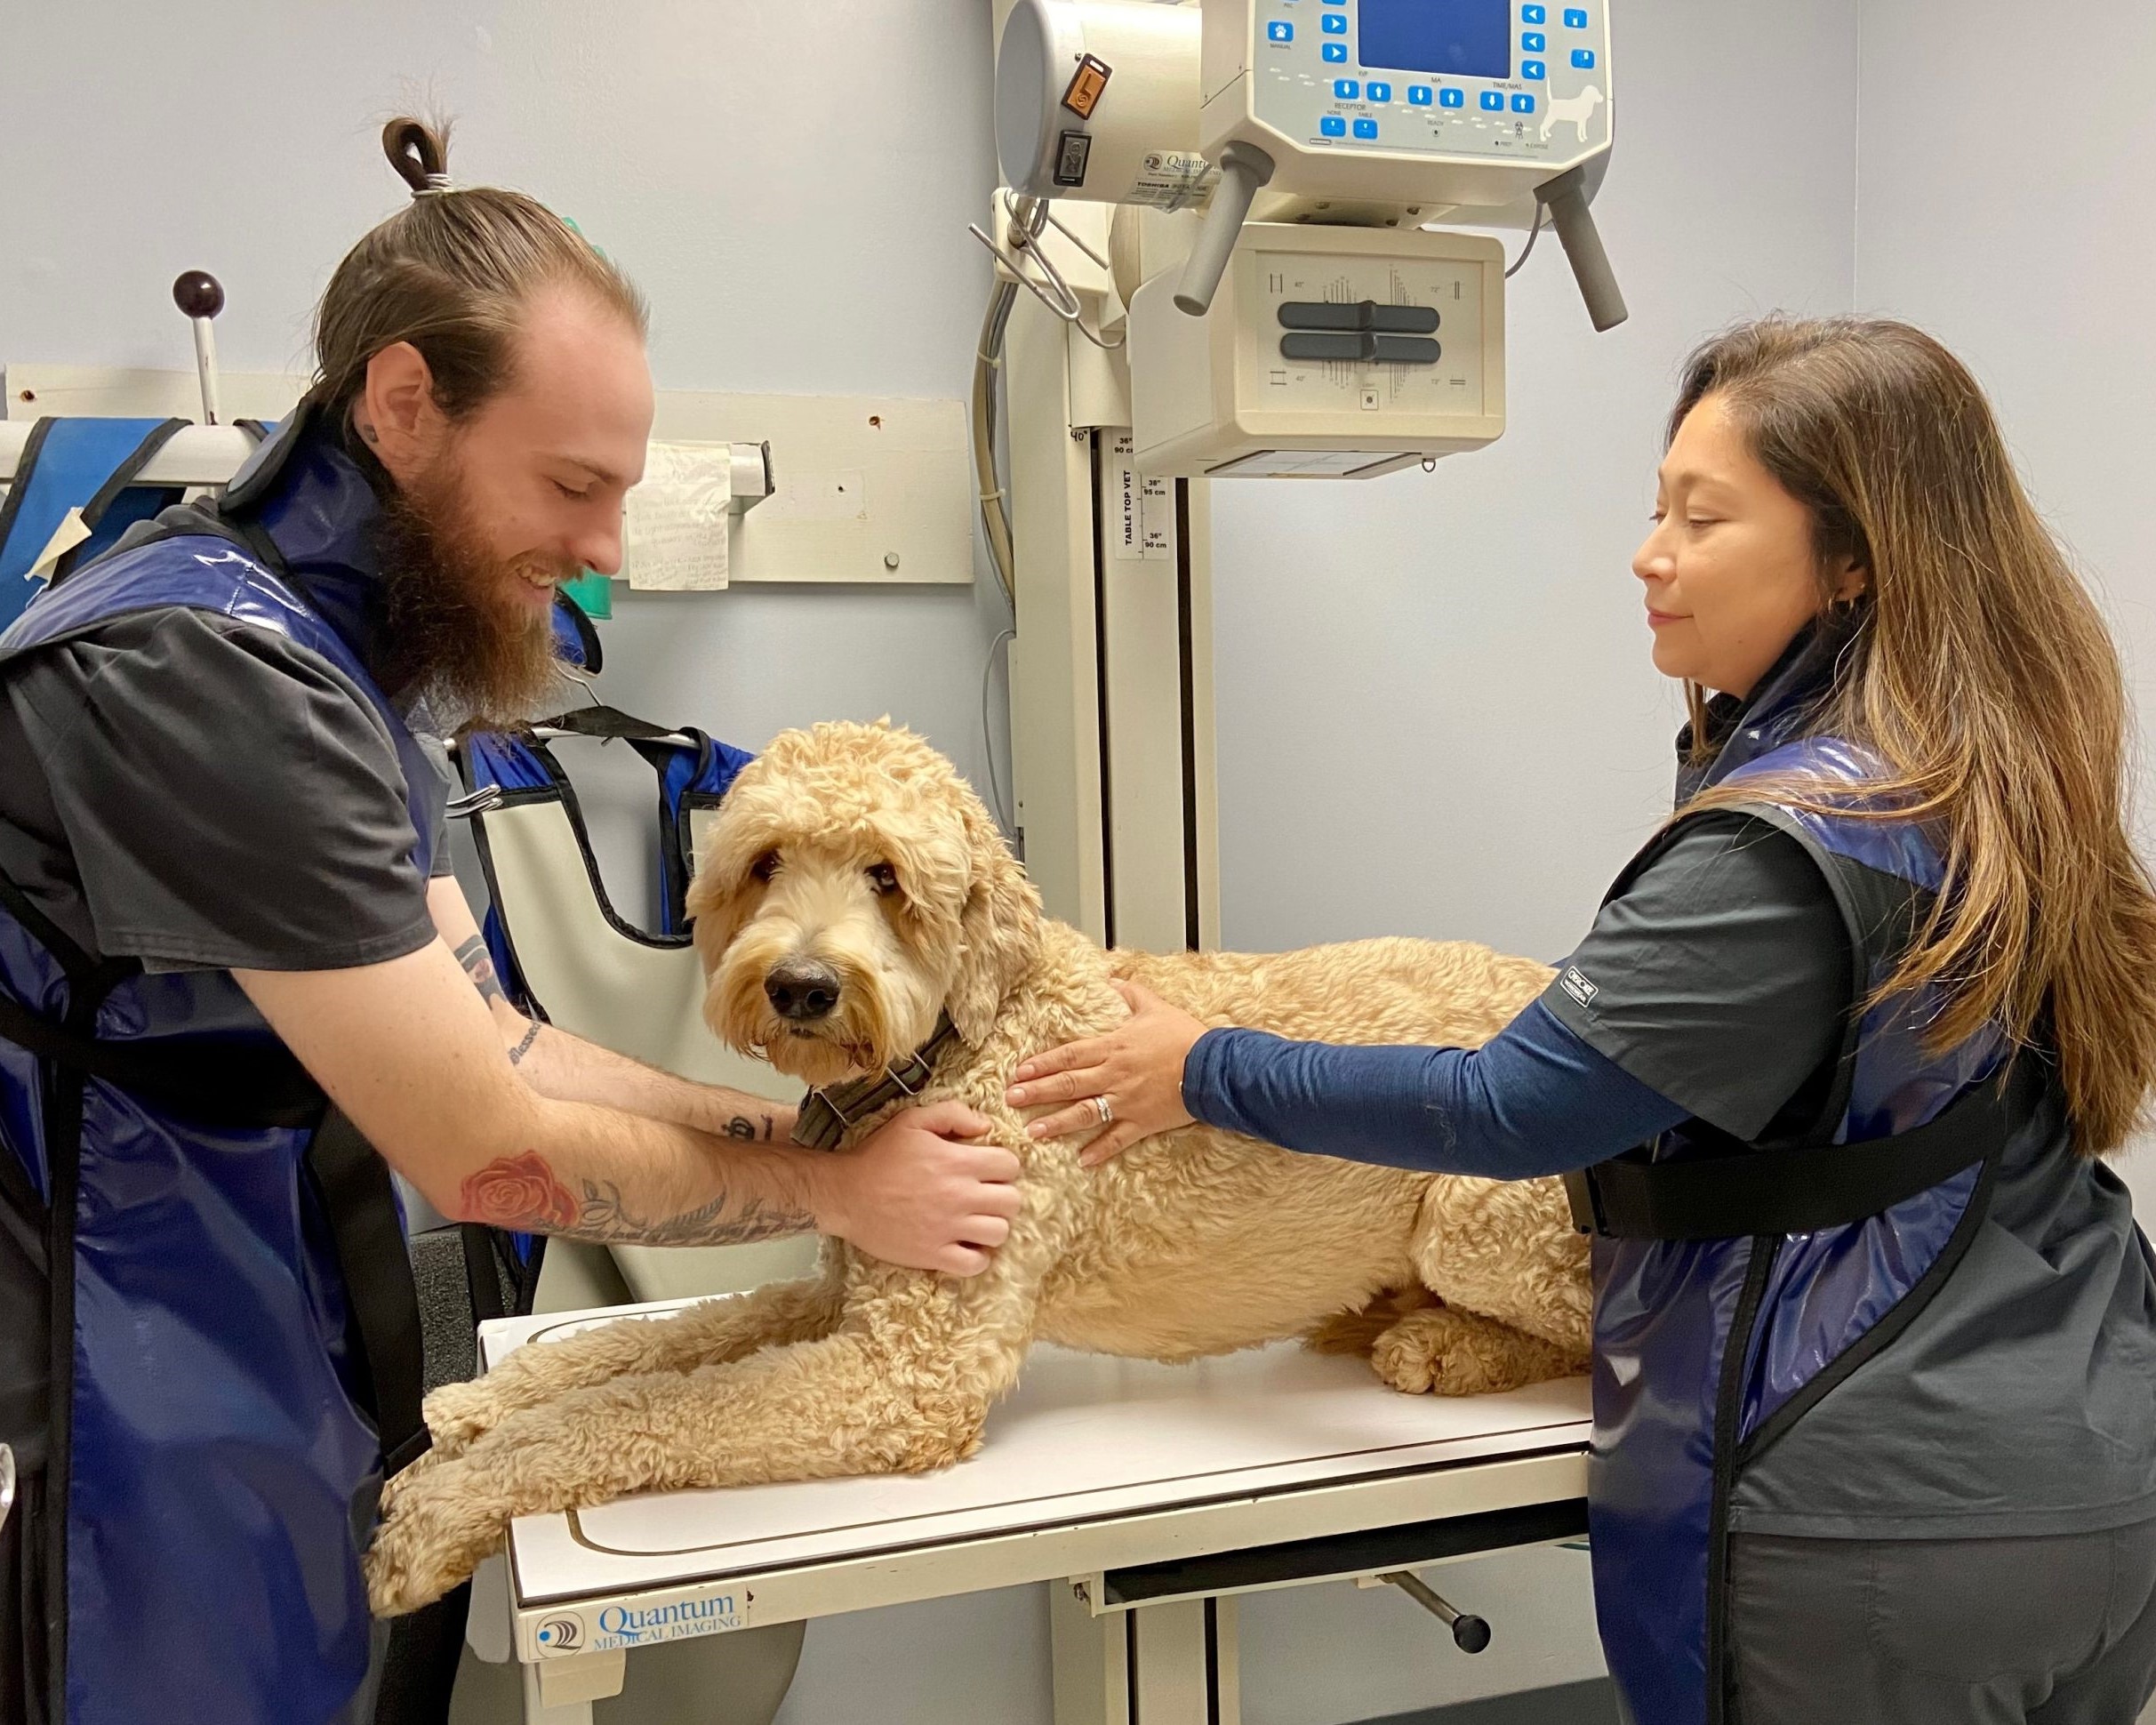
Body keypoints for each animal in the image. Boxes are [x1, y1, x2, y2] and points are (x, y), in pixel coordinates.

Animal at [366, 719, 1586, 1612]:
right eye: (764, 863)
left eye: (886, 875)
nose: (804, 984)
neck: (953, 1044)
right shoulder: (845, 1283)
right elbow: (646, 1348)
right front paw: (482, 1399)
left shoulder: (905, 1376)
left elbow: (644, 1410)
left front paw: (439, 1511)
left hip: (1479, 1220)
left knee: (1585, 1325)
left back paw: (1440, 1342)